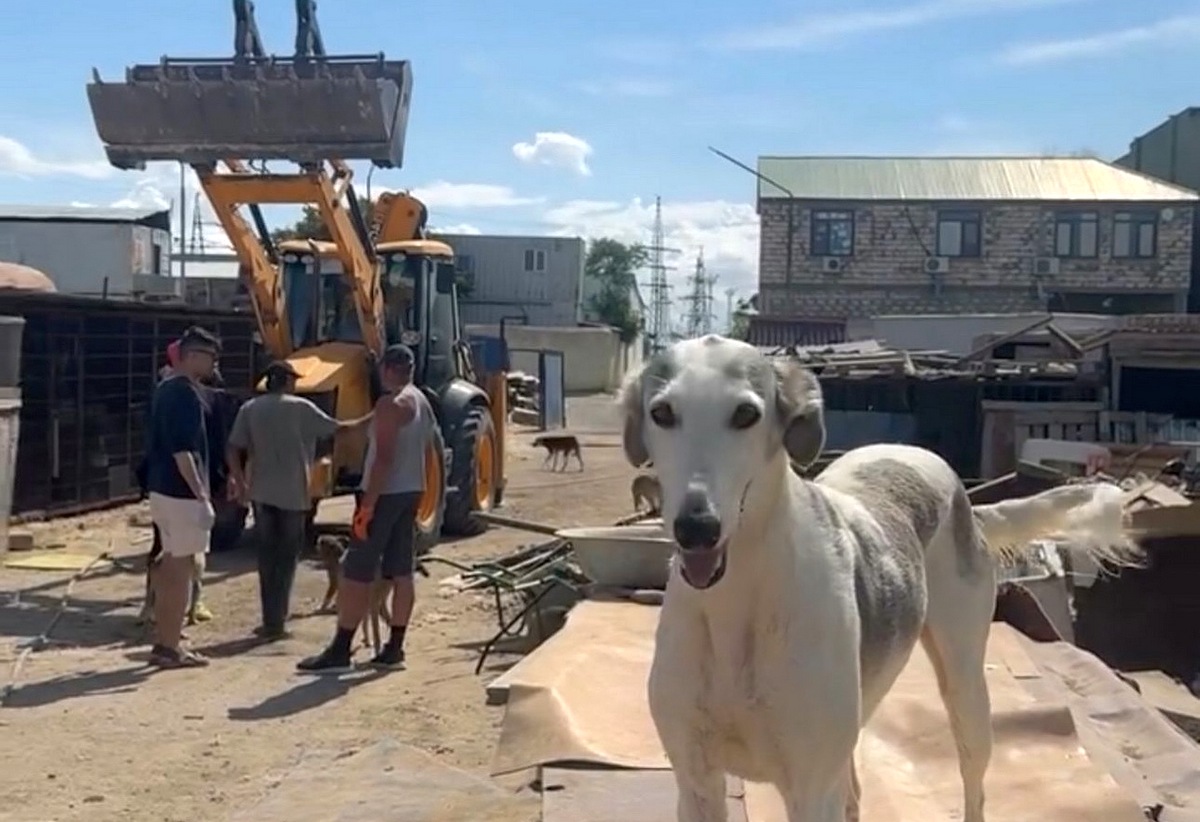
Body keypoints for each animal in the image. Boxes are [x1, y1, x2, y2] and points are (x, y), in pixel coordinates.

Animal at [624, 336, 1137, 820]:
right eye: (662, 412)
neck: (737, 601)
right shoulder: (697, 782)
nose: (696, 528)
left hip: (966, 689)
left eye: (746, 414)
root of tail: (961, 494)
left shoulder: (811, 788)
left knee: (974, 784)